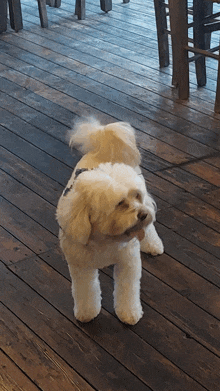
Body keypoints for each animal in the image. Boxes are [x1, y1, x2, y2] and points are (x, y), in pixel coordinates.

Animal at [56, 118, 163, 326]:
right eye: (120, 203)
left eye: (136, 196)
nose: (143, 214)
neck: (105, 239)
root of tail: (104, 146)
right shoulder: (80, 266)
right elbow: (86, 291)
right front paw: (87, 312)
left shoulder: (128, 262)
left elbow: (128, 291)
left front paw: (129, 314)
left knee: (150, 228)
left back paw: (153, 245)